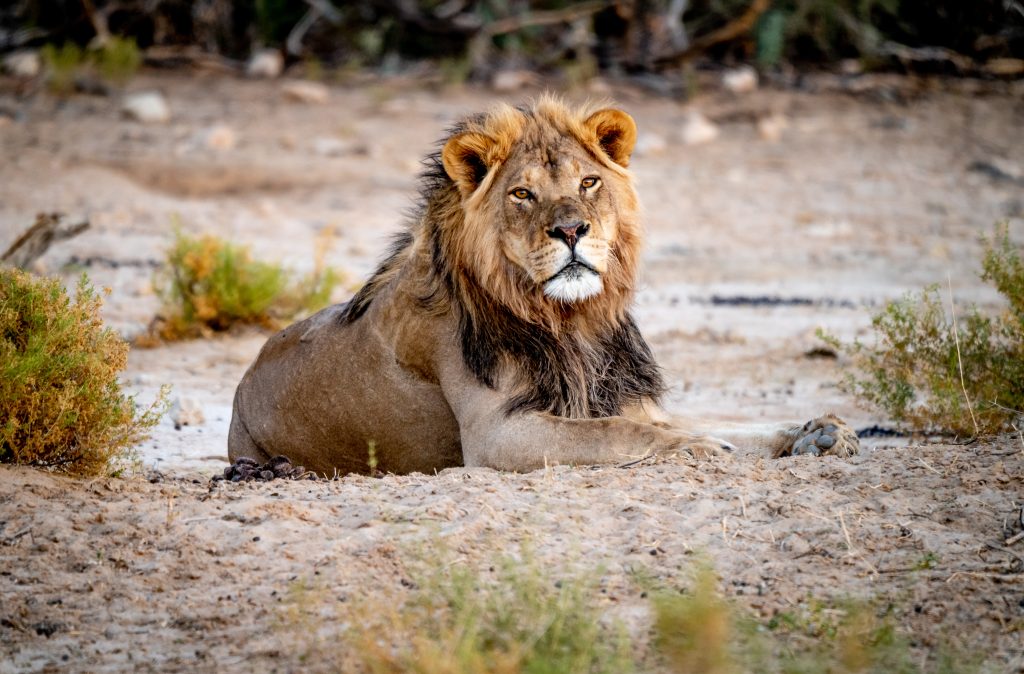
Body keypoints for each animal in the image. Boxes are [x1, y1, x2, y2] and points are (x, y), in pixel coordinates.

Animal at [228, 95, 859, 475]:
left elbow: (715, 424)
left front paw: (815, 432)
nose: (572, 229)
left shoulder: (624, 399)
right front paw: (694, 448)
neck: (572, 319)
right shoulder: (497, 435)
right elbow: (615, 433)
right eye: (522, 194)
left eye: (589, 182)